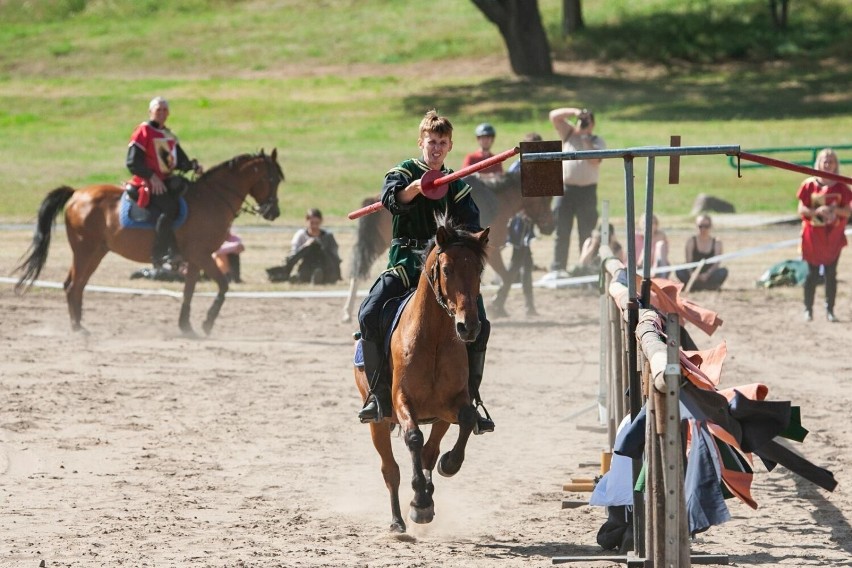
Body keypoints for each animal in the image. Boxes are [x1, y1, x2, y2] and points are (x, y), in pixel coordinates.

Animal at [15, 152, 282, 338]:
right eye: (271, 178)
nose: (274, 212)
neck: (212, 198)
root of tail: (77, 193)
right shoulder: (203, 255)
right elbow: (224, 286)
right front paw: (207, 323)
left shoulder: (195, 259)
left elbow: (189, 292)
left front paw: (186, 326)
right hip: (86, 251)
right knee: (74, 286)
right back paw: (78, 329)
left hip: (95, 252)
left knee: (74, 285)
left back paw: (79, 325)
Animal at [340, 171, 552, 322]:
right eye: (544, 198)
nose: (549, 225)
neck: (500, 200)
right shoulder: (493, 252)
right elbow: (507, 276)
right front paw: (497, 305)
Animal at [352, 214, 490, 532]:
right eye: (447, 269)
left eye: (478, 269)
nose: (469, 327)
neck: (434, 337)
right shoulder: (402, 401)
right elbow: (413, 438)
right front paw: (419, 502)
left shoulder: (451, 406)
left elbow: (466, 420)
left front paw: (448, 466)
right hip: (378, 423)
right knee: (390, 470)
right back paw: (398, 521)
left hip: (439, 419)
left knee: (428, 453)